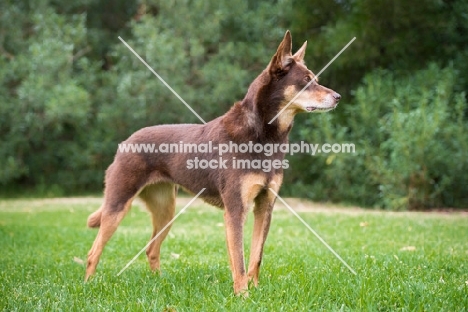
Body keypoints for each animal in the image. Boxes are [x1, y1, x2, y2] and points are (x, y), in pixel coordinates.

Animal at [85, 31, 340, 294]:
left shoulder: (265, 205)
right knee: (93, 252)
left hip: (166, 210)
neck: (263, 136)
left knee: (151, 249)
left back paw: (159, 283)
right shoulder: (236, 209)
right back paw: (89, 286)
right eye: (307, 81)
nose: (338, 97)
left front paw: (255, 290)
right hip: (117, 205)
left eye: (316, 79)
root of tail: (126, 142)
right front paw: (243, 295)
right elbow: (239, 259)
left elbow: (256, 257)